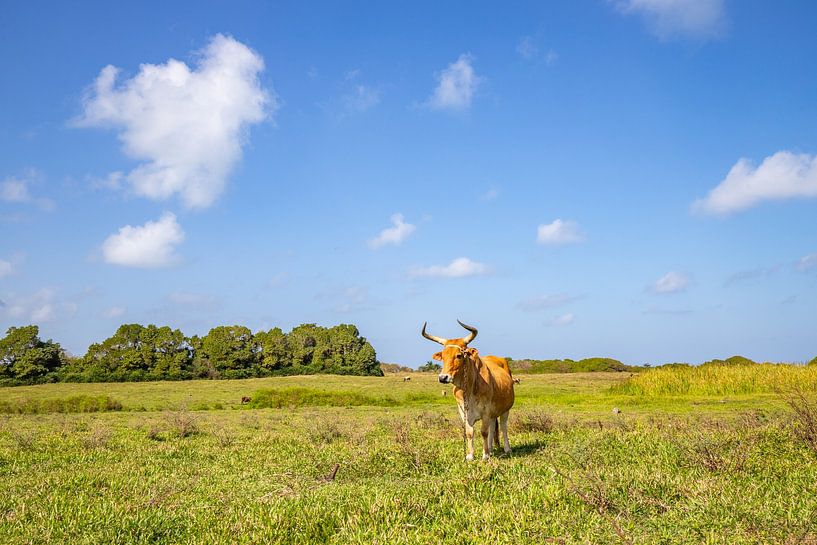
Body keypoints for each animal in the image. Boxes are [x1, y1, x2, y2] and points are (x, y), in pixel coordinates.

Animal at [422, 320, 515, 461]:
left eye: (459, 355)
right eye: (443, 356)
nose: (443, 377)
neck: (469, 388)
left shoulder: (486, 410)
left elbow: (483, 432)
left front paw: (485, 455)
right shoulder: (463, 411)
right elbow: (469, 432)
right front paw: (471, 455)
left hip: (505, 409)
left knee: (503, 427)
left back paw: (506, 449)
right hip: (493, 413)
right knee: (493, 427)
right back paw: (491, 449)